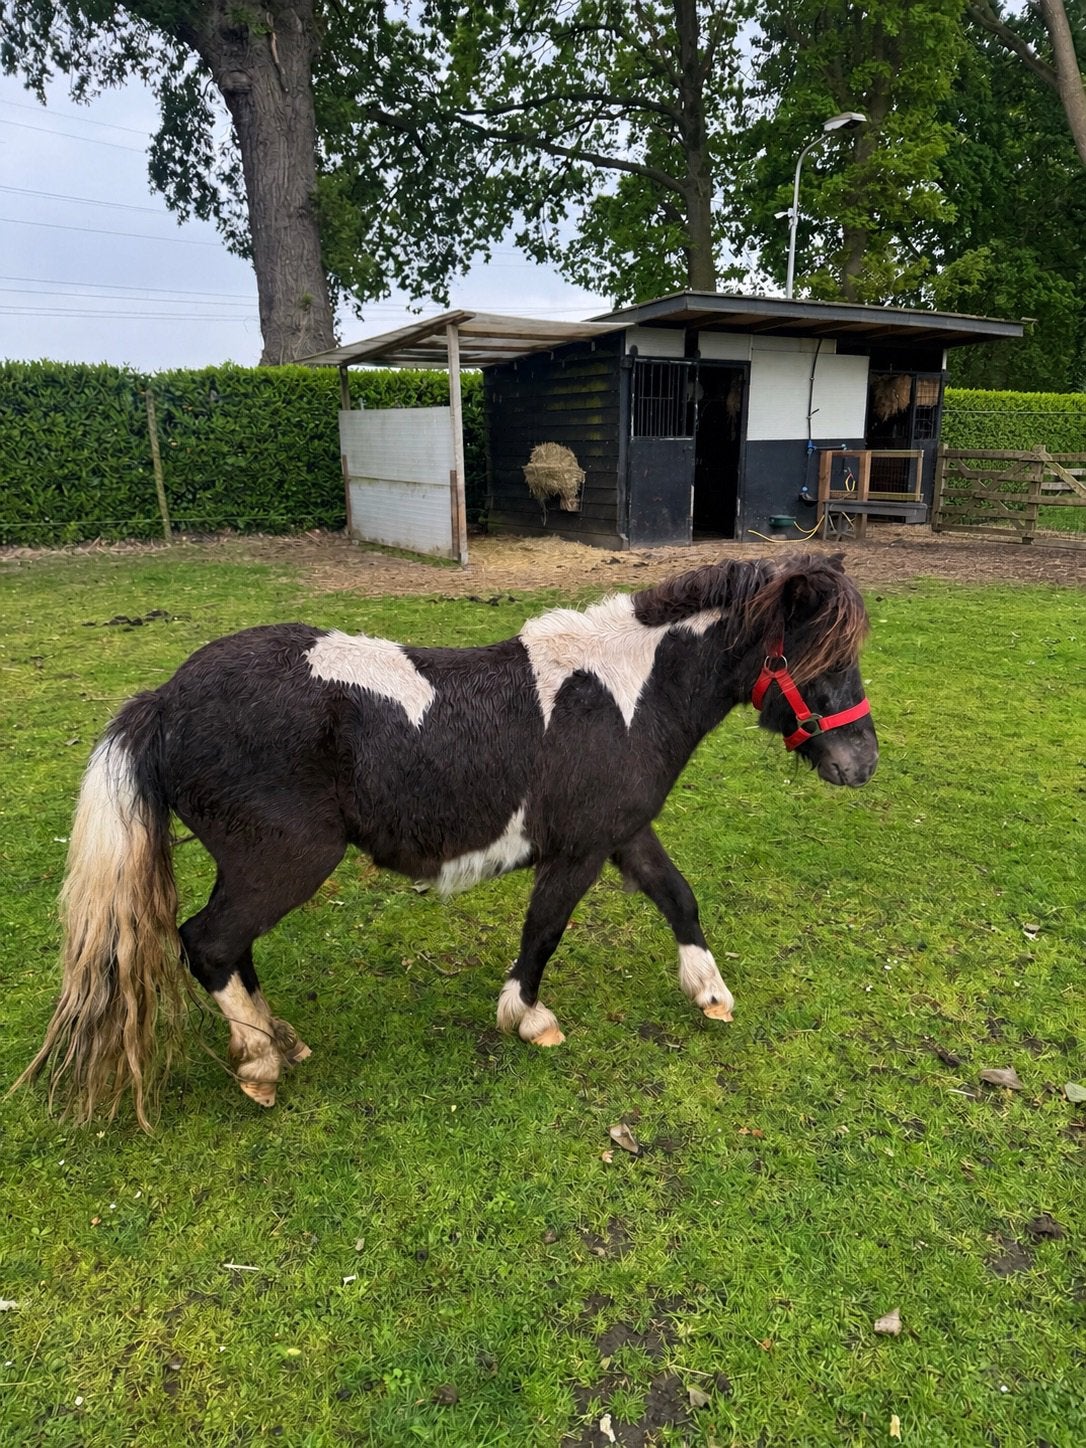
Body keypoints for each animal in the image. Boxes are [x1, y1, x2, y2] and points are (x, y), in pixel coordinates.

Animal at [14, 552, 877, 1130]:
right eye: (822, 657)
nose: (861, 762)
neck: (624, 694)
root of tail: (164, 702)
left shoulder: (622, 831)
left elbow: (678, 898)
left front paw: (710, 992)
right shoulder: (578, 851)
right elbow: (543, 932)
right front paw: (527, 1018)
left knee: (230, 948)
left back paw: (277, 1039)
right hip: (284, 861)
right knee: (210, 943)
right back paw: (259, 1062)